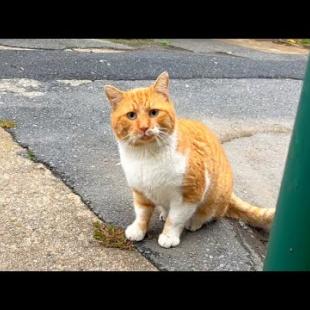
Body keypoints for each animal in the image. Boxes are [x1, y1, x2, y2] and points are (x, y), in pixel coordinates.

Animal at [103, 71, 274, 248]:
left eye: (154, 112)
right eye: (131, 115)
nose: (144, 127)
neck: (146, 156)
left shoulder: (189, 195)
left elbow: (175, 219)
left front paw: (169, 236)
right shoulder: (140, 191)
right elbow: (142, 213)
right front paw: (138, 229)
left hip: (214, 197)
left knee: (210, 214)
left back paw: (194, 222)